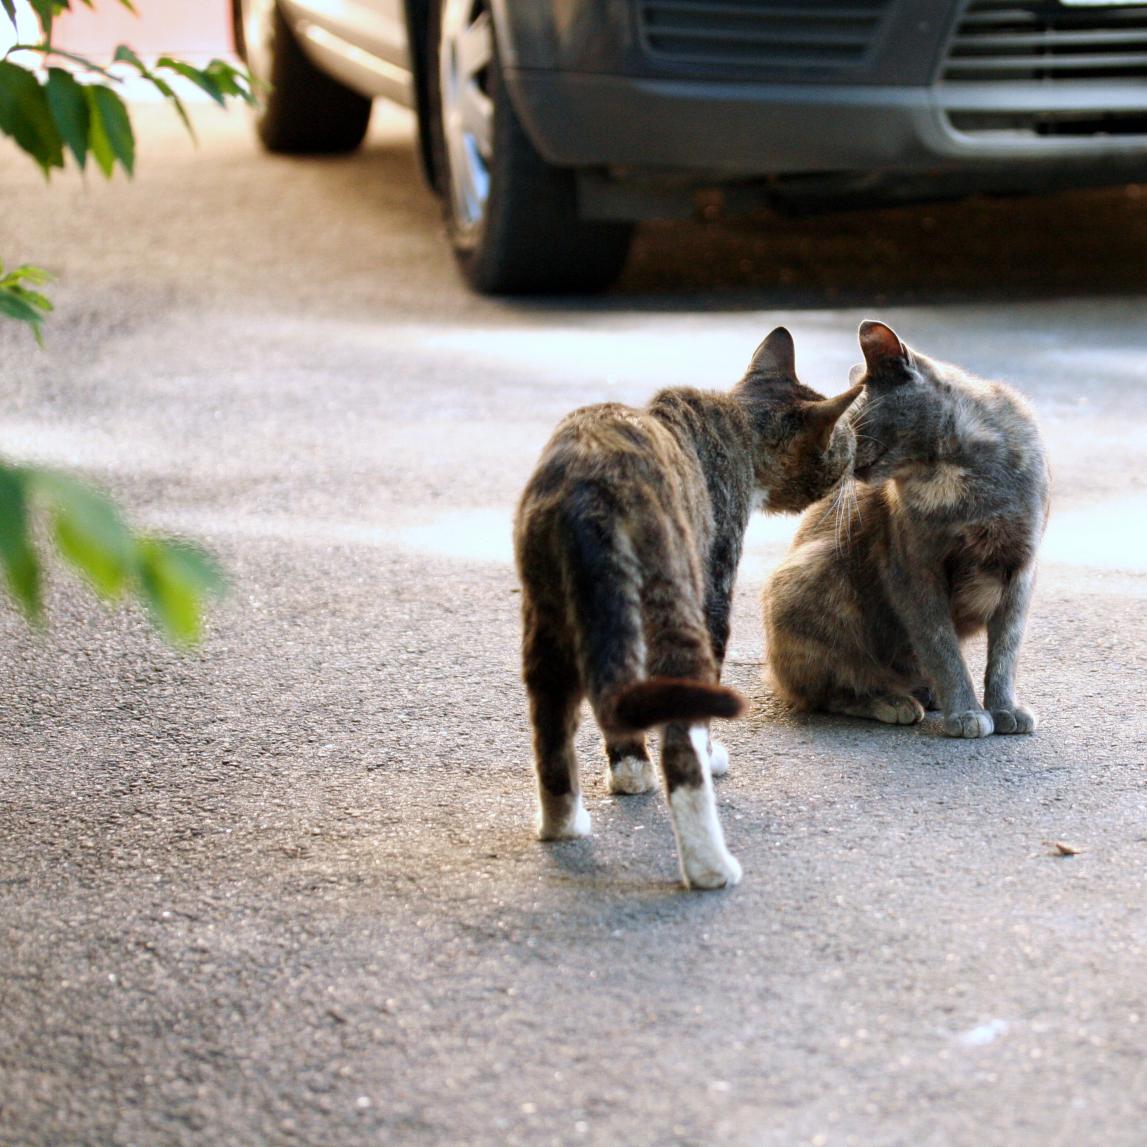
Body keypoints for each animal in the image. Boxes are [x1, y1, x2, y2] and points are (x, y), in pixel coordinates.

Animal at [518, 328, 862, 890]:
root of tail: (589, 493)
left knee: (554, 721)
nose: (857, 474)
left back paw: (563, 825)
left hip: (549, 613)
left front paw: (630, 773)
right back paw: (710, 867)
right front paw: (708, 755)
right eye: (848, 449)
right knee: (681, 733)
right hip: (674, 596)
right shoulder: (715, 585)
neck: (735, 423)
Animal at [761, 318, 1050, 738]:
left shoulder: (1019, 566)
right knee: (828, 691)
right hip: (811, 572)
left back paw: (925, 694)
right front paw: (966, 713)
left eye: (849, 423)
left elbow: (1005, 650)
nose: (835, 460)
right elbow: (941, 646)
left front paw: (1005, 708)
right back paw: (892, 701)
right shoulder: (914, 570)